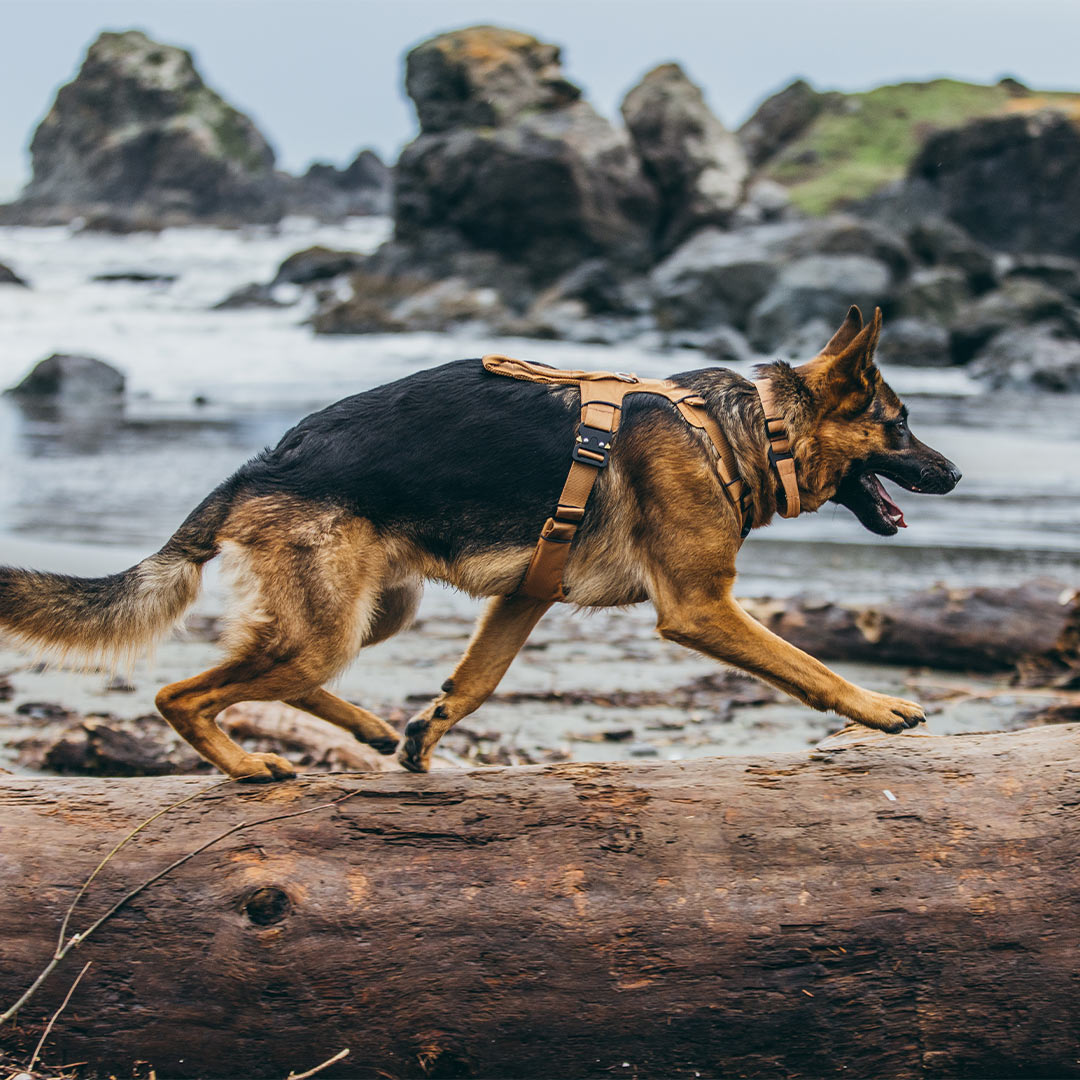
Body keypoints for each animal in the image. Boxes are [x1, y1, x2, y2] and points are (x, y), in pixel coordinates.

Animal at [0, 304, 963, 777]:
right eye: (900, 426)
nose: (954, 475)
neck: (751, 429)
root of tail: (260, 467)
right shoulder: (701, 610)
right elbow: (808, 666)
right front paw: (881, 709)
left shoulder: (524, 595)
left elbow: (474, 681)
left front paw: (427, 734)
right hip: (327, 628)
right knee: (183, 695)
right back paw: (245, 767)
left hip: (370, 614)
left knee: (276, 677)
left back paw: (369, 727)